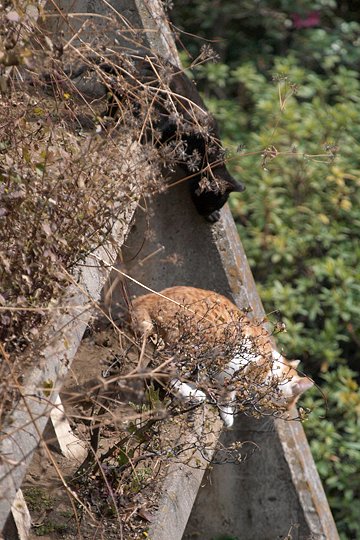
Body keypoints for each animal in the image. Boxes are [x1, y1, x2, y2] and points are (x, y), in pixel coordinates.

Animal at [131, 286, 314, 426]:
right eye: (286, 407)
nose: (282, 414)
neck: (270, 368)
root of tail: (147, 298)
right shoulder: (236, 371)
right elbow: (228, 395)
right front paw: (227, 414)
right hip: (189, 347)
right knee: (162, 372)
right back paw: (193, 394)